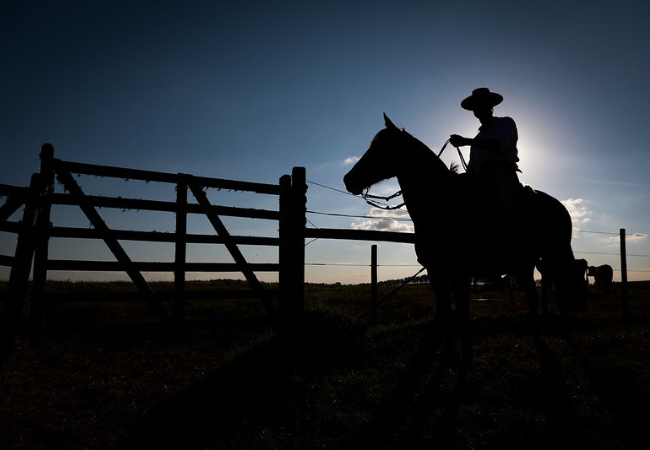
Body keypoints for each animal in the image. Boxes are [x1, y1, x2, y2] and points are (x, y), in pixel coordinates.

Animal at [344, 115, 584, 344]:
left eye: (379, 146)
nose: (348, 179)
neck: (443, 204)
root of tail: (560, 206)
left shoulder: (460, 273)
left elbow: (461, 319)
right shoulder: (436, 272)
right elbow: (447, 319)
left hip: (554, 255)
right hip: (526, 264)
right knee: (533, 298)